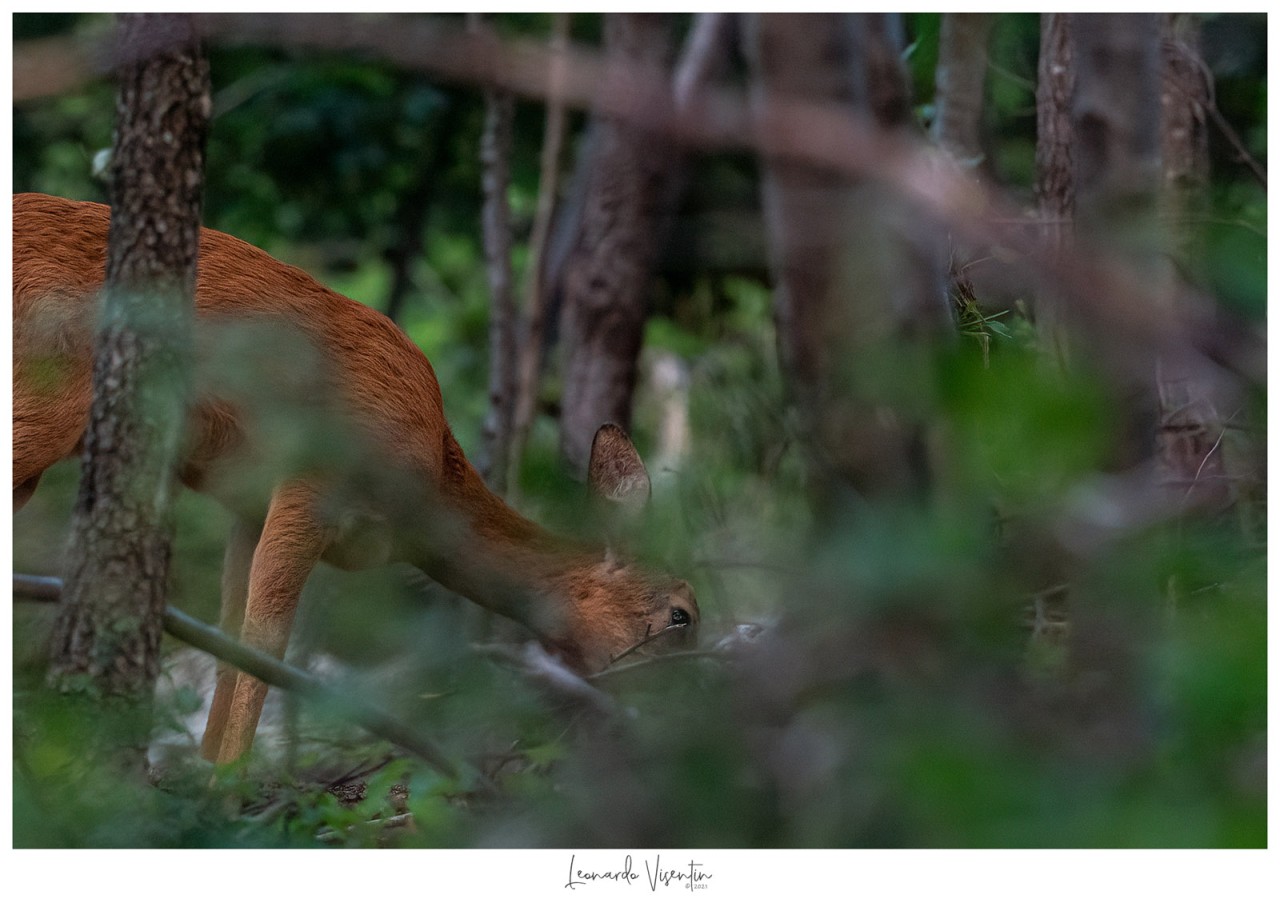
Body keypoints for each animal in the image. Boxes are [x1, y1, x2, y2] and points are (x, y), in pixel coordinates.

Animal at [12, 193, 701, 763]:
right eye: (682, 614)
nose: (690, 718)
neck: (416, 499)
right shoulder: (314, 476)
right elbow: (267, 643)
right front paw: (228, 791)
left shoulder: (247, 503)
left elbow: (230, 638)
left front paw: (202, 779)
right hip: (43, 405)